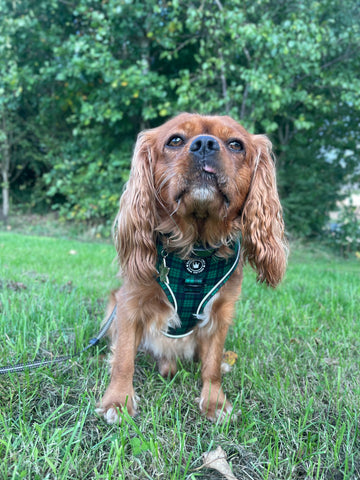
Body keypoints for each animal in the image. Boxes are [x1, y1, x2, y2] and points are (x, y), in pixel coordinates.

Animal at [96, 113, 286, 424]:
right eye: (175, 140)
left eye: (236, 144)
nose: (205, 144)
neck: (194, 253)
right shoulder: (129, 305)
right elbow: (124, 358)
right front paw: (118, 401)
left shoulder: (221, 313)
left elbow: (210, 364)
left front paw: (215, 401)